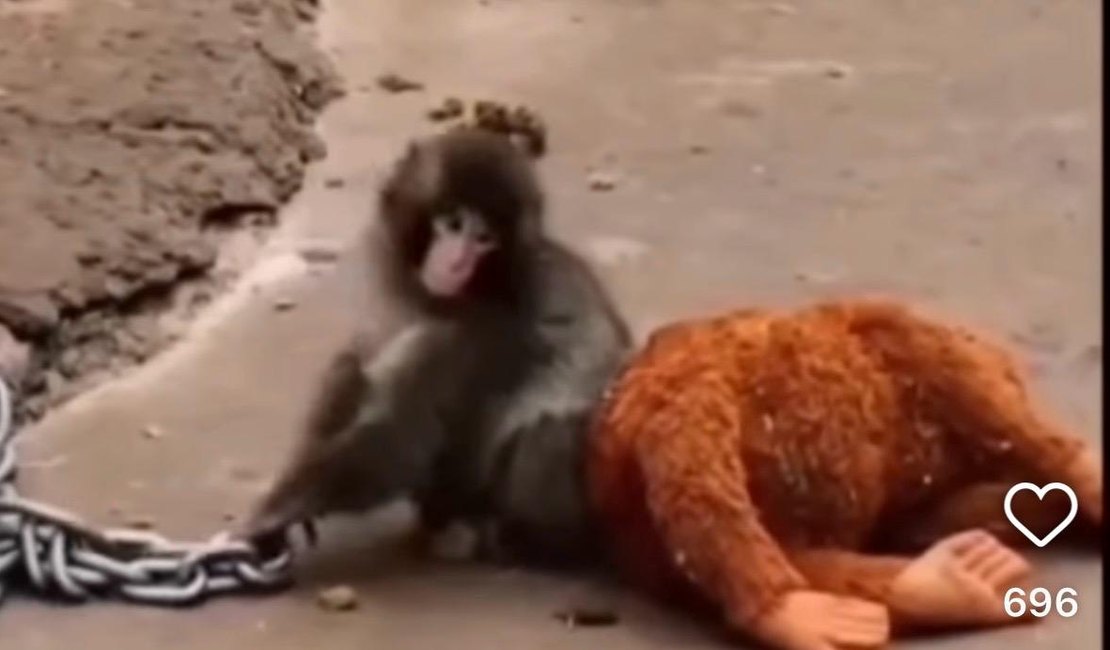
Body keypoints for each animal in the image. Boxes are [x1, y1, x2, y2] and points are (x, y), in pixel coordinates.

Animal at [242, 128, 631, 567]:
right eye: (453, 223)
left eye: (484, 239)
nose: (457, 262)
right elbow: (365, 363)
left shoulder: (468, 334)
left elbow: (400, 438)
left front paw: (274, 513)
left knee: (547, 433)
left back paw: (513, 538)